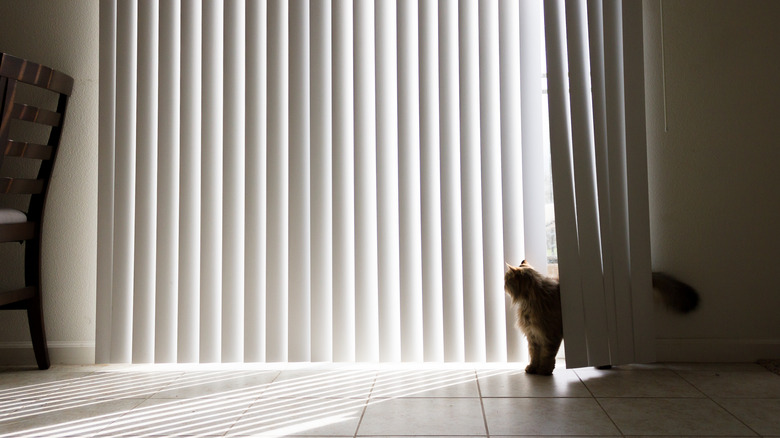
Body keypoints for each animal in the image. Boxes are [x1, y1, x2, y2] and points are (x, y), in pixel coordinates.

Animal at [506, 260, 700, 376]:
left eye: (507, 279)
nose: (503, 284)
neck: (530, 300)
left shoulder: (550, 334)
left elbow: (547, 355)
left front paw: (545, 371)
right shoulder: (533, 336)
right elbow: (534, 354)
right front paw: (532, 368)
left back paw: (605, 365)